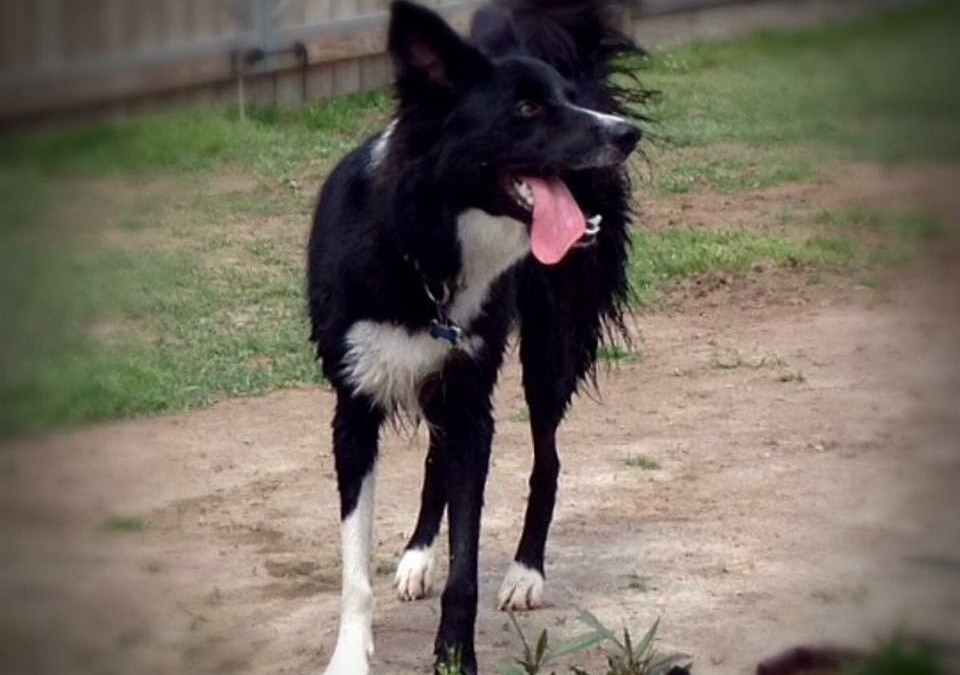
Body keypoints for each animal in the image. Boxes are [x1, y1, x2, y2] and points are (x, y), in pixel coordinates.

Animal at [308, 2, 636, 672]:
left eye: (565, 101)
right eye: (527, 109)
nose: (626, 134)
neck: (424, 248)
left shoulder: (471, 404)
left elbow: (467, 566)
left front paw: (455, 656)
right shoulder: (354, 407)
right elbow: (355, 566)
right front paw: (350, 655)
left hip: (549, 350)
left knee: (548, 460)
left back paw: (526, 572)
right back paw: (417, 555)